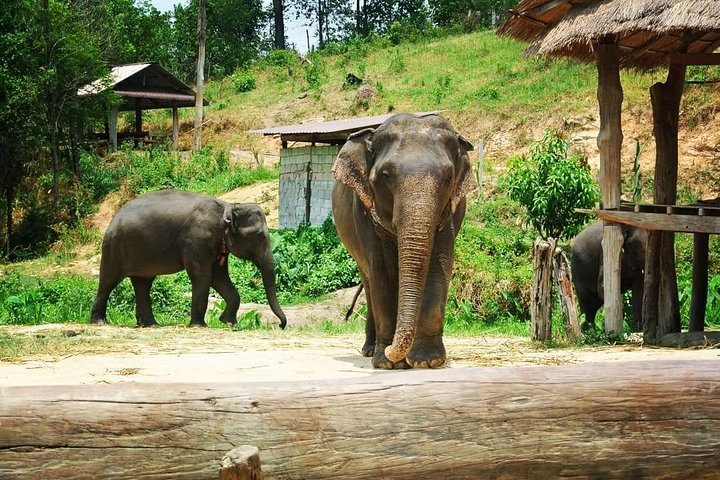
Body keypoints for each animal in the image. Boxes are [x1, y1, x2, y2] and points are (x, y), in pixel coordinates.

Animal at [91, 189, 288, 328]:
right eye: (257, 236)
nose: (280, 325)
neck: (228, 206)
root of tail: (114, 217)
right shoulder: (197, 238)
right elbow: (202, 276)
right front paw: (200, 326)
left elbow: (219, 277)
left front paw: (229, 322)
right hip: (114, 247)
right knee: (108, 281)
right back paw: (100, 322)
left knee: (143, 283)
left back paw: (150, 325)